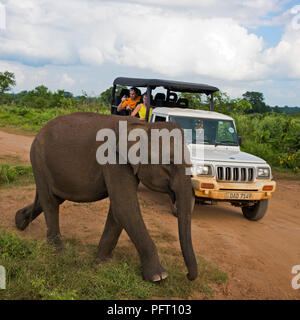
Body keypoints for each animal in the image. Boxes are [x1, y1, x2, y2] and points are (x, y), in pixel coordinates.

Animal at [14, 111, 197, 282]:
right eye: (169, 163)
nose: (188, 276)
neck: (144, 126)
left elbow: (118, 209)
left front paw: (102, 262)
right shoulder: (114, 160)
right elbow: (124, 206)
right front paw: (159, 277)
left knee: (54, 198)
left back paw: (19, 222)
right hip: (38, 159)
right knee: (51, 202)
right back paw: (57, 251)